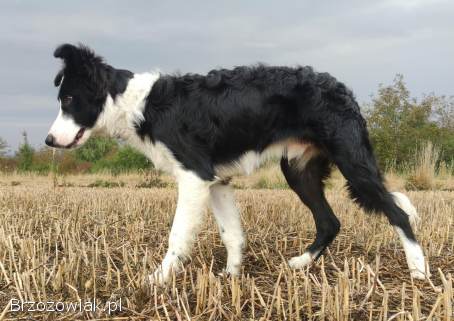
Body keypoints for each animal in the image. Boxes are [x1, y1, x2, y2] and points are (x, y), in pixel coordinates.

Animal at [46, 42, 430, 282]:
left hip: (353, 165)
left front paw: (157, 280)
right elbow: (232, 233)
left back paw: (419, 271)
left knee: (397, 213)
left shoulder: (194, 177)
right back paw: (301, 263)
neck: (138, 103)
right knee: (330, 222)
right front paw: (231, 276)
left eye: (69, 100)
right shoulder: (217, 182)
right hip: (299, 170)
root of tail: (343, 89)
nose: (48, 141)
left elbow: (178, 236)